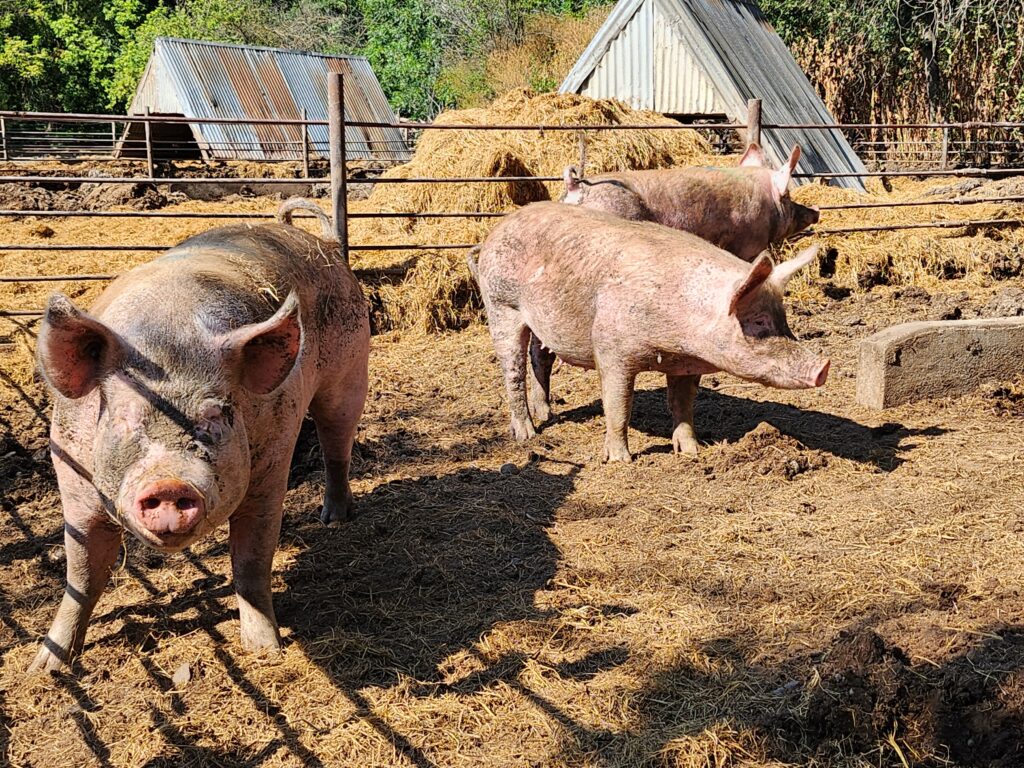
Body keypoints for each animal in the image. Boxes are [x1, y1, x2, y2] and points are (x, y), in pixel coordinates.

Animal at [29, 197, 369, 671]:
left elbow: (251, 560)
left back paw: (334, 518)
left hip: (351, 367)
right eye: (121, 418)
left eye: (219, 415)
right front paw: (46, 668)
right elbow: (82, 572)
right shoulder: (72, 478)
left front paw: (266, 650)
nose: (170, 483)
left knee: (335, 440)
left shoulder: (270, 468)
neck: (168, 336)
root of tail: (323, 242)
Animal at [474, 202, 828, 461]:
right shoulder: (611, 349)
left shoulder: (687, 365)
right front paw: (620, 460)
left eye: (783, 318)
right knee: (513, 370)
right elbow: (619, 405)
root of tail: (497, 229)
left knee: (540, 358)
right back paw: (528, 433)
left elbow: (683, 404)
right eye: (758, 322)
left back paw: (547, 413)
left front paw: (693, 451)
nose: (823, 367)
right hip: (501, 305)